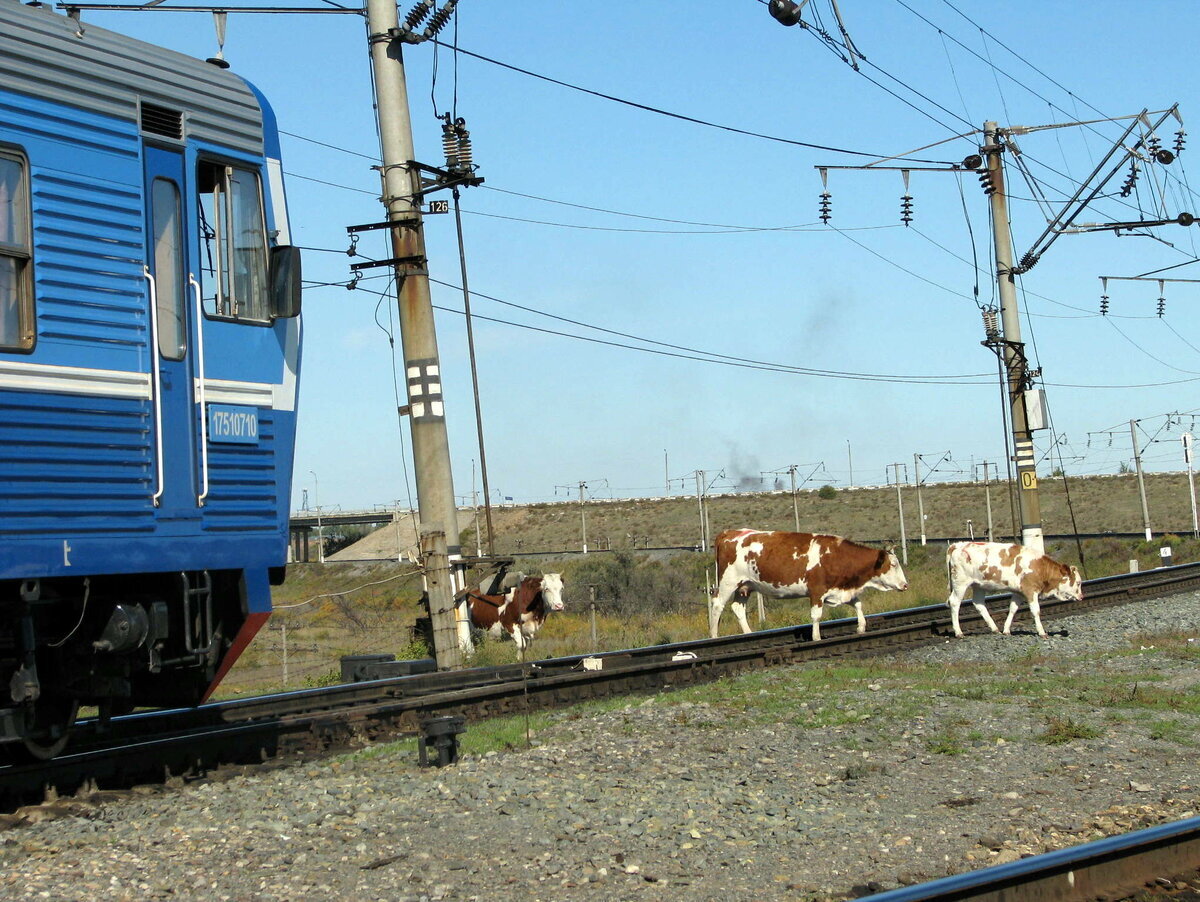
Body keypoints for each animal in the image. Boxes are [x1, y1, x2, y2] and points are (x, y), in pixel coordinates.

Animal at [705, 527, 902, 642]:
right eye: (893, 564)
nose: (905, 584)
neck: (835, 556)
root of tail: (729, 533)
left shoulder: (840, 589)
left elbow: (858, 604)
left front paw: (861, 626)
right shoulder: (817, 591)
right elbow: (816, 615)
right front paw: (816, 637)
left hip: (745, 586)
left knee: (738, 608)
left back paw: (749, 633)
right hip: (728, 581)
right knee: (717, 604)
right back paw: (714, 635)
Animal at [950, 539, 1084, 638]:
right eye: (1078, 583)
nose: (1082, 596)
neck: (1040, 567)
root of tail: (957, 545)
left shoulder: (1019, 592)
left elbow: (1013, 609)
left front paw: (1006, 630)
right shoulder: (1030, 590)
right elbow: (1036, 611)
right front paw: (1042, 632)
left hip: (979, 585)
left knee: (978, 603)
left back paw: (995, 629)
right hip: (960, 582)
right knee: (954, 602)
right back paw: (959, 632)